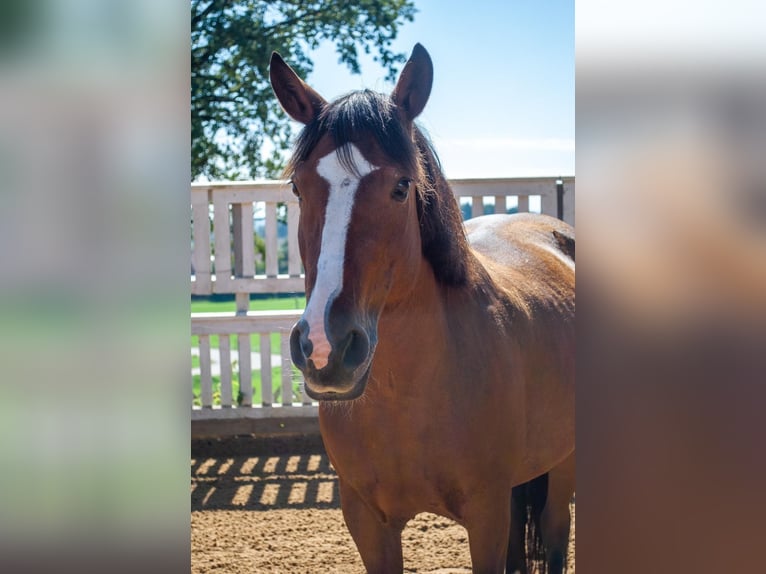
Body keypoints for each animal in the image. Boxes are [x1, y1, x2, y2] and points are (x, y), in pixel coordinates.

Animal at [270, 42, 576, 572]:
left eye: (401, 186)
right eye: (297, 188)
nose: (325, 348)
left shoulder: (487, 515)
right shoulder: (367, 522)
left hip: (566, 464)